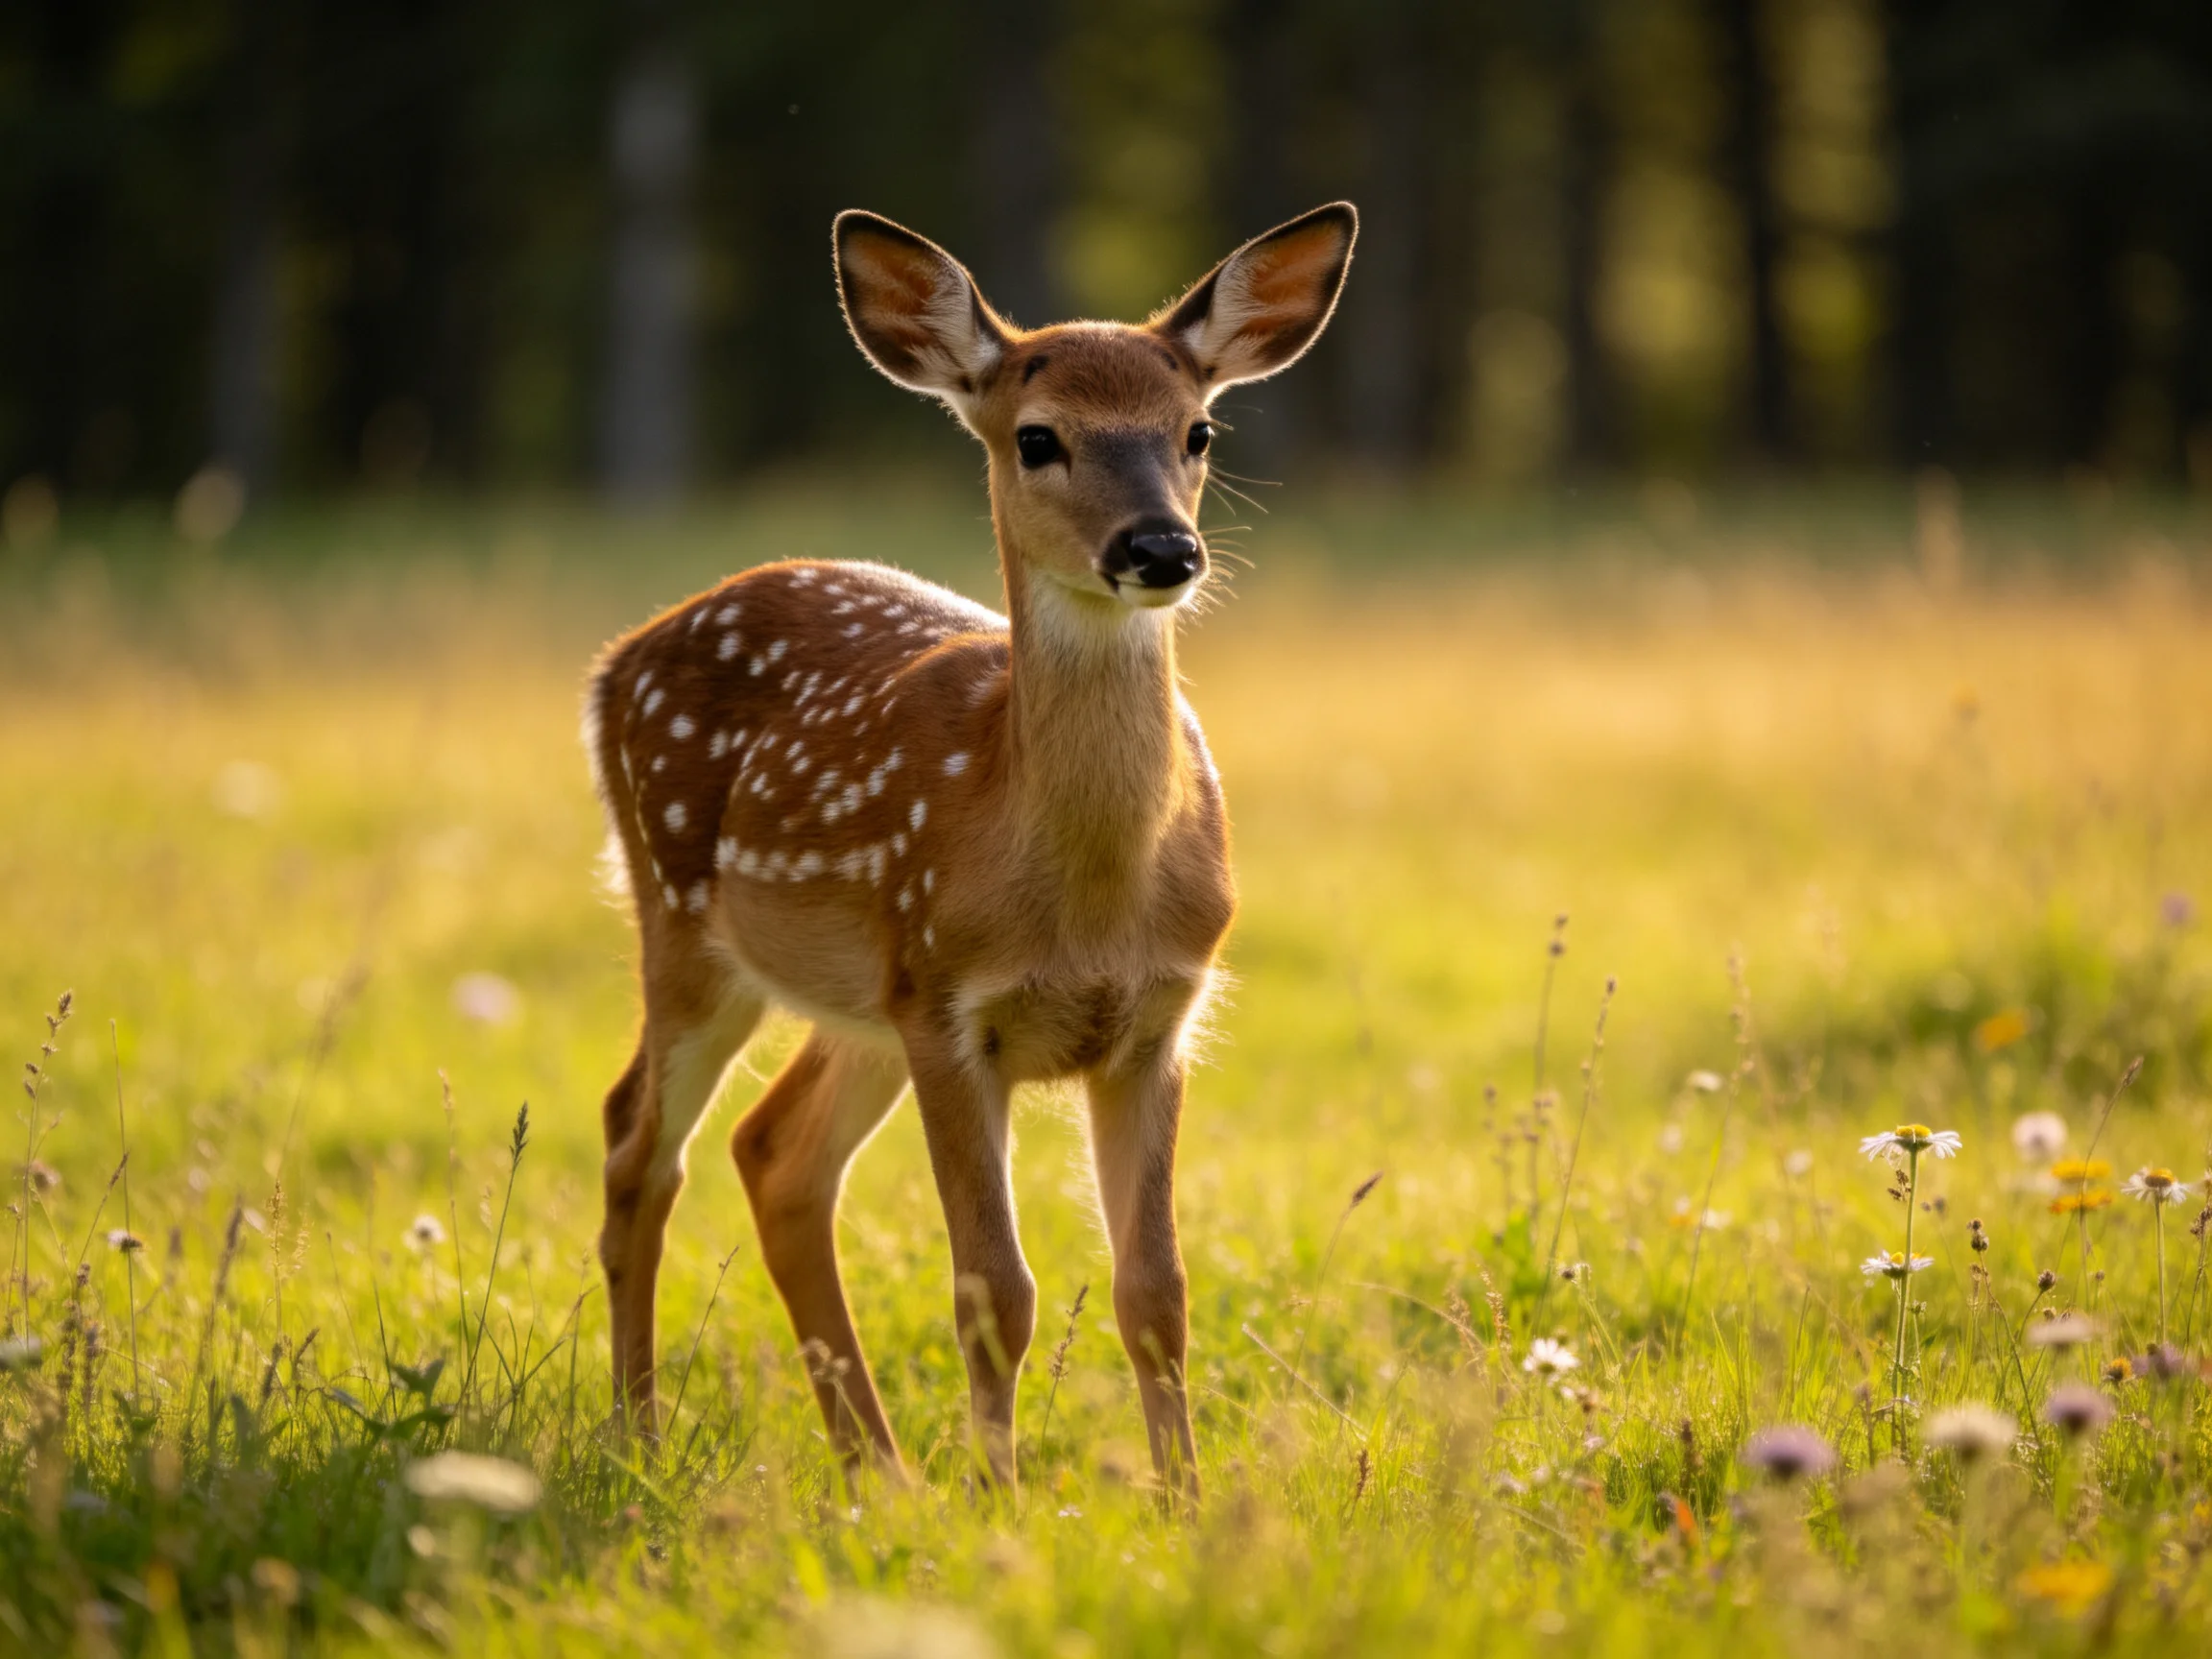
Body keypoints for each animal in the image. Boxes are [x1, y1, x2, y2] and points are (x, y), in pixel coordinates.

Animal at [583, 200, 1357, 1497]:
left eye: (1197, 431)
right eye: (1039, 439)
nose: (1160, 549)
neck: (1085, 900)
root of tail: (616, 659)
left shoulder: (1158, 1019)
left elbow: (1158, 1294)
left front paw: (1187, 1507)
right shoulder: (954, 1007)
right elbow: (995, 1289)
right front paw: (1000, 1501)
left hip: (862, 1000)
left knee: (774, 1152)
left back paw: (878, 1475)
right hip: (690, 920)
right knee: (639, 1143)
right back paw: (639, 1442)